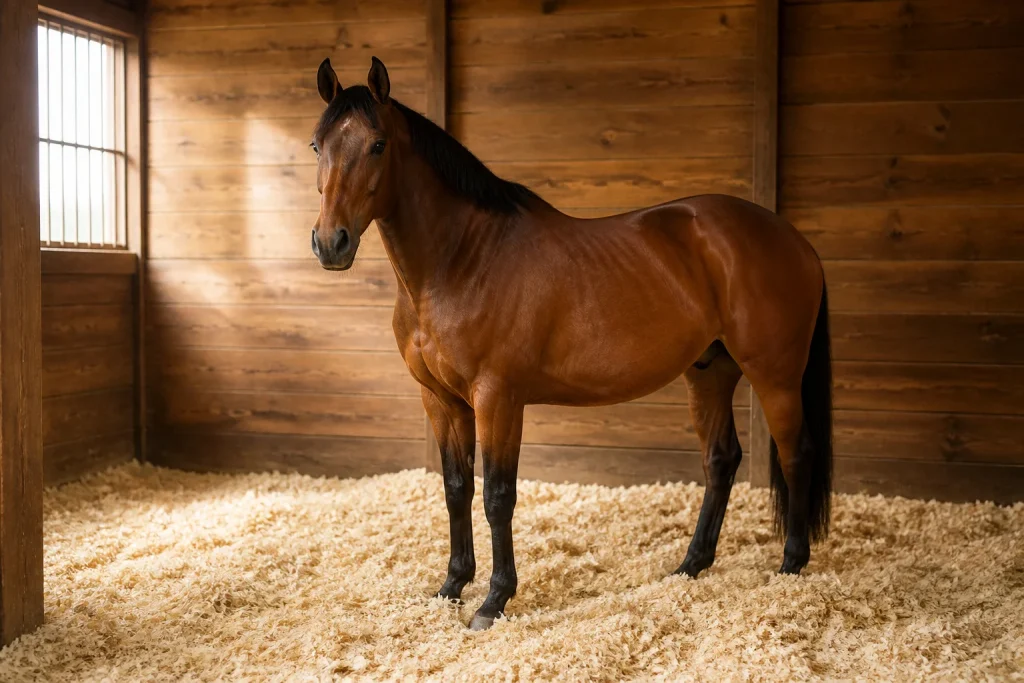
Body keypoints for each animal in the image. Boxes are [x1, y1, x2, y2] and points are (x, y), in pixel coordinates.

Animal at [309, 57, 833, 631]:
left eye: (378, 144)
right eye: (317, 145)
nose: (330, 243)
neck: (461, 260)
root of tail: (794, 239)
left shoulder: (498, 400)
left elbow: (497, 496)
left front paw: (493, 602)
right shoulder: (441, 401)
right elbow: (456, 489)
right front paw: (451, 587)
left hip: (775, 375)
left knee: (796, 453)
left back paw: (791, 566)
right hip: (709, 372)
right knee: (721, 460)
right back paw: (690, 566)